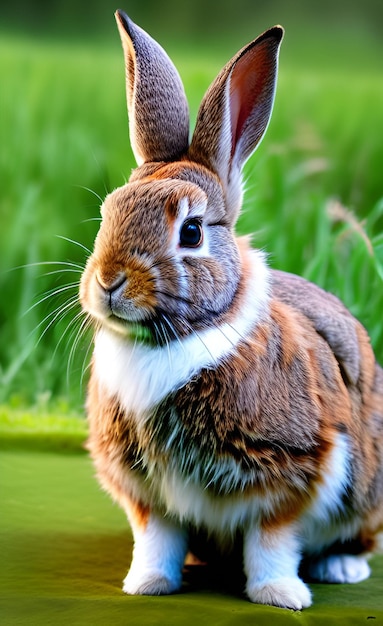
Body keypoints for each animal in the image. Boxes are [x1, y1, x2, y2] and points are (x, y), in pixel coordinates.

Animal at [79, 7, 383, 608]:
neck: (173, 340)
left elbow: (273, 540)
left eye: (192, 232)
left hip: (368, 487)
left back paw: (340, 567)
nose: (107, 282)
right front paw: (146, 586)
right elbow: (157, 539)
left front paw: (281, 596)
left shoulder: (293, 468)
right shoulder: (146, 491)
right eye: (109, 212)